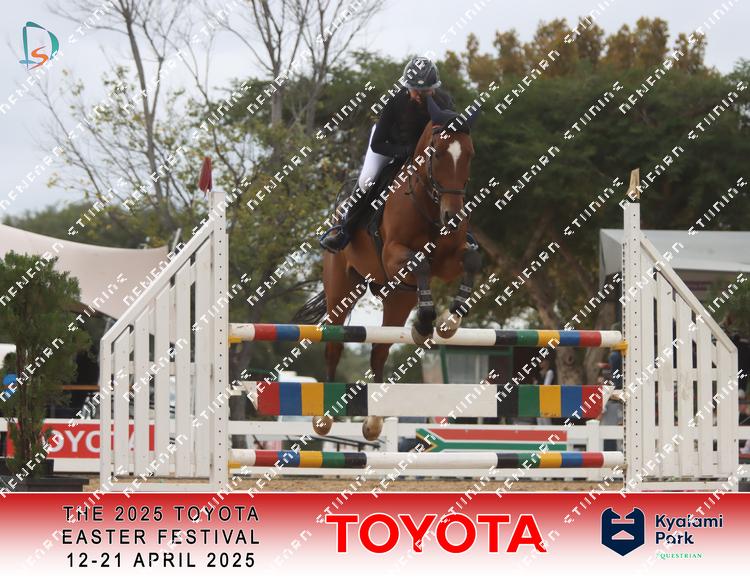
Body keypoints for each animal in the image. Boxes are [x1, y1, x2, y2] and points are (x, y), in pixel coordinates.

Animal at [296, 97, 481, 440]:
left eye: (470, 154)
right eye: (437, 153)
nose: (452, 217)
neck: (428, 202)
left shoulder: (450, 261)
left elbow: (471, 262)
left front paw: (449, 322)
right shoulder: (395, 254)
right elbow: (420, 263)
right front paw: (427, 322)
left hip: (398, 299)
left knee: (380, 350)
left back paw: (374, 421)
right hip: (341, 290)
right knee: (334, 345)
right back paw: (324, 419)